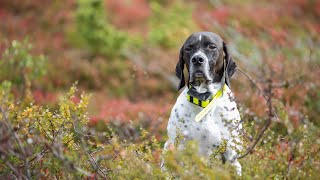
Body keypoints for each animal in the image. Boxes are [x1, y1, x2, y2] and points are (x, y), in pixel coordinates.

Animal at [162, 31, 242, 175]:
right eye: (189, 48)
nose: (197, 59)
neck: (204, 100)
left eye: (212, 46)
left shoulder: (231, 155)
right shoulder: (179, 147)